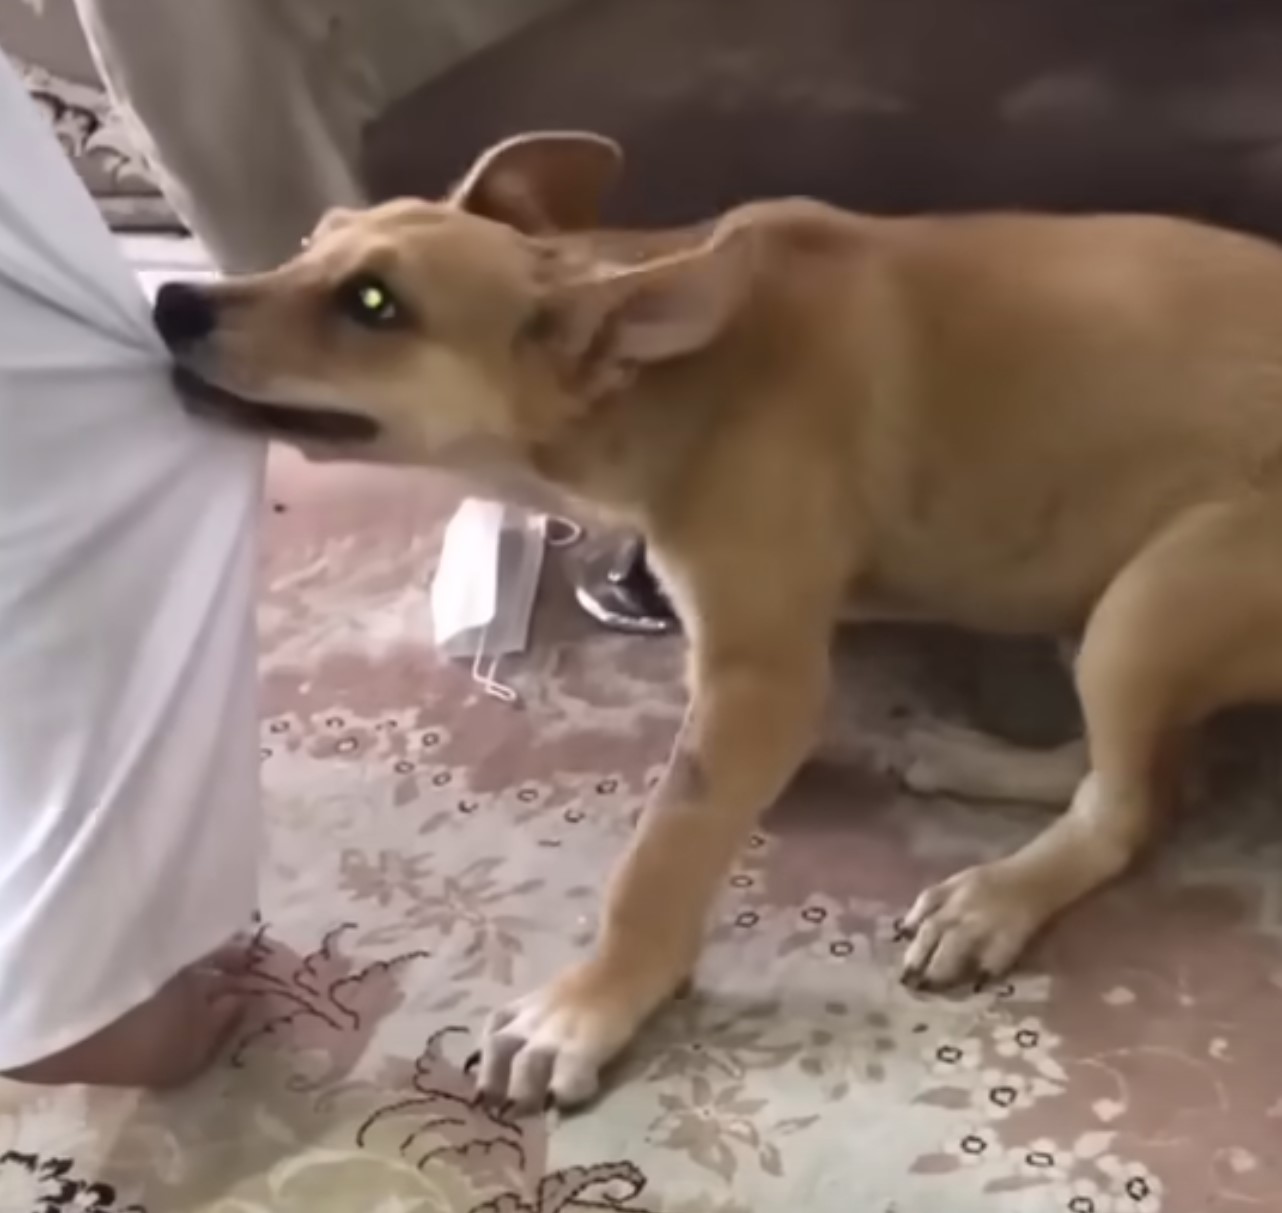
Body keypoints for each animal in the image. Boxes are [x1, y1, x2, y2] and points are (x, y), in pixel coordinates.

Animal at [155, 130, 1282, 1107]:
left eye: (373, 303)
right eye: (310, 242)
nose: (171, 299)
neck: (671, 375)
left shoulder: (758, 685)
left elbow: (658, 858)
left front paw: (587, 1008)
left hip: (1150, 602)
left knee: (1133, 808)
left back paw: (997, 893)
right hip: (1091, 594)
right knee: (1154, 769)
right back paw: (974, 761)